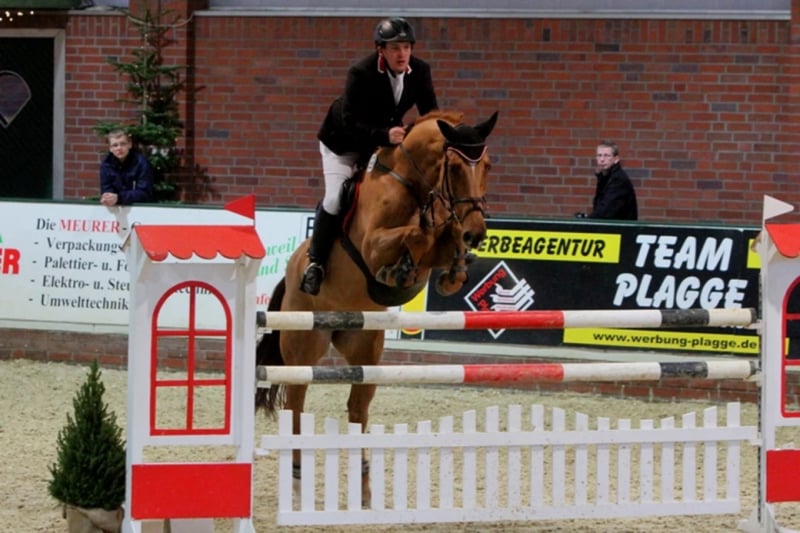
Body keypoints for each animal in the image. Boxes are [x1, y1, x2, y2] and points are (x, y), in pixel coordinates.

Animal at [256, 110, 498, 507]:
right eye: (455, 168)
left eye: (488, 166)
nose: (476, 232)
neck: (414, 187)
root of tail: (291, 270)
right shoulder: (372, 245)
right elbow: (416, 235)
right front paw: (400, 267)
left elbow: (442, 239)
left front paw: (455, 267)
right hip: (303, 347)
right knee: (296, 406)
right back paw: (297, 479)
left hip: (366, 347)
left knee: (358, 408)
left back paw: (364, 489)